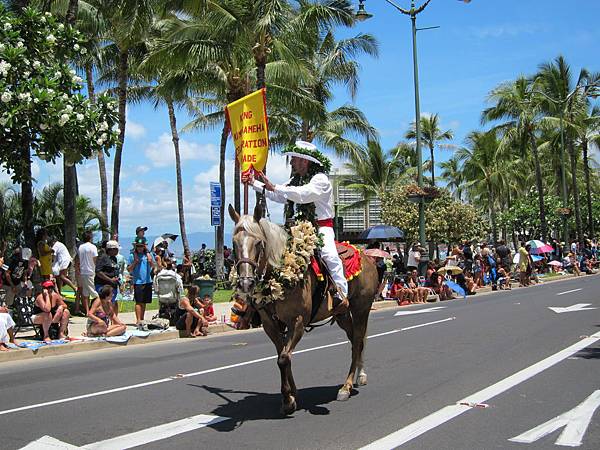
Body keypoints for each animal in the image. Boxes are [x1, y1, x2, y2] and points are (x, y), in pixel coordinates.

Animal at [230, 204, 380, 414]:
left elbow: (284, 358)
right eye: (234, 243)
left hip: (361, 309)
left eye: (259, 243)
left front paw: (287, 399)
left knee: (358, 342)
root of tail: (366, 256)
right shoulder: (271, 325)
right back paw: (358, 376)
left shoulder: (298, 322)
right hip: (342, 314)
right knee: (355, 341)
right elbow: (282, 356)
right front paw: (292, 394)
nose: (245, 283)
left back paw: (347, 386)